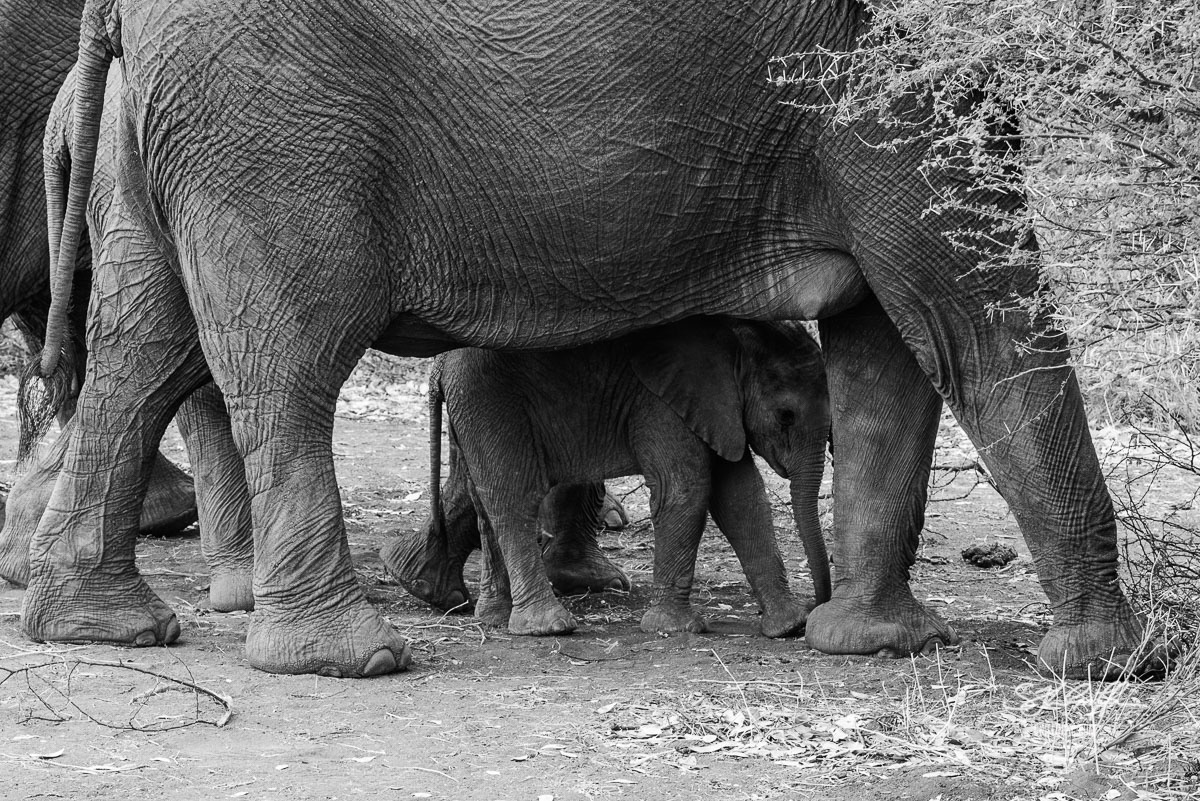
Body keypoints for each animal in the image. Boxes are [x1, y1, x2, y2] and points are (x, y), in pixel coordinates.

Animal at [385, 317, 831, 640]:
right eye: (786, 416)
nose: (820, 607)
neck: (736, 341)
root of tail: (439, 364)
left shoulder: (716, 409)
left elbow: (741, 496)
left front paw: (788, 626)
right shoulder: (662, 402)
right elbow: (685, 488)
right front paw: (674, 630)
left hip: (473, 409)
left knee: (481, 498)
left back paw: (480, 611)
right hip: (490, 400)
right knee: (513, 497)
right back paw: (547, 626)